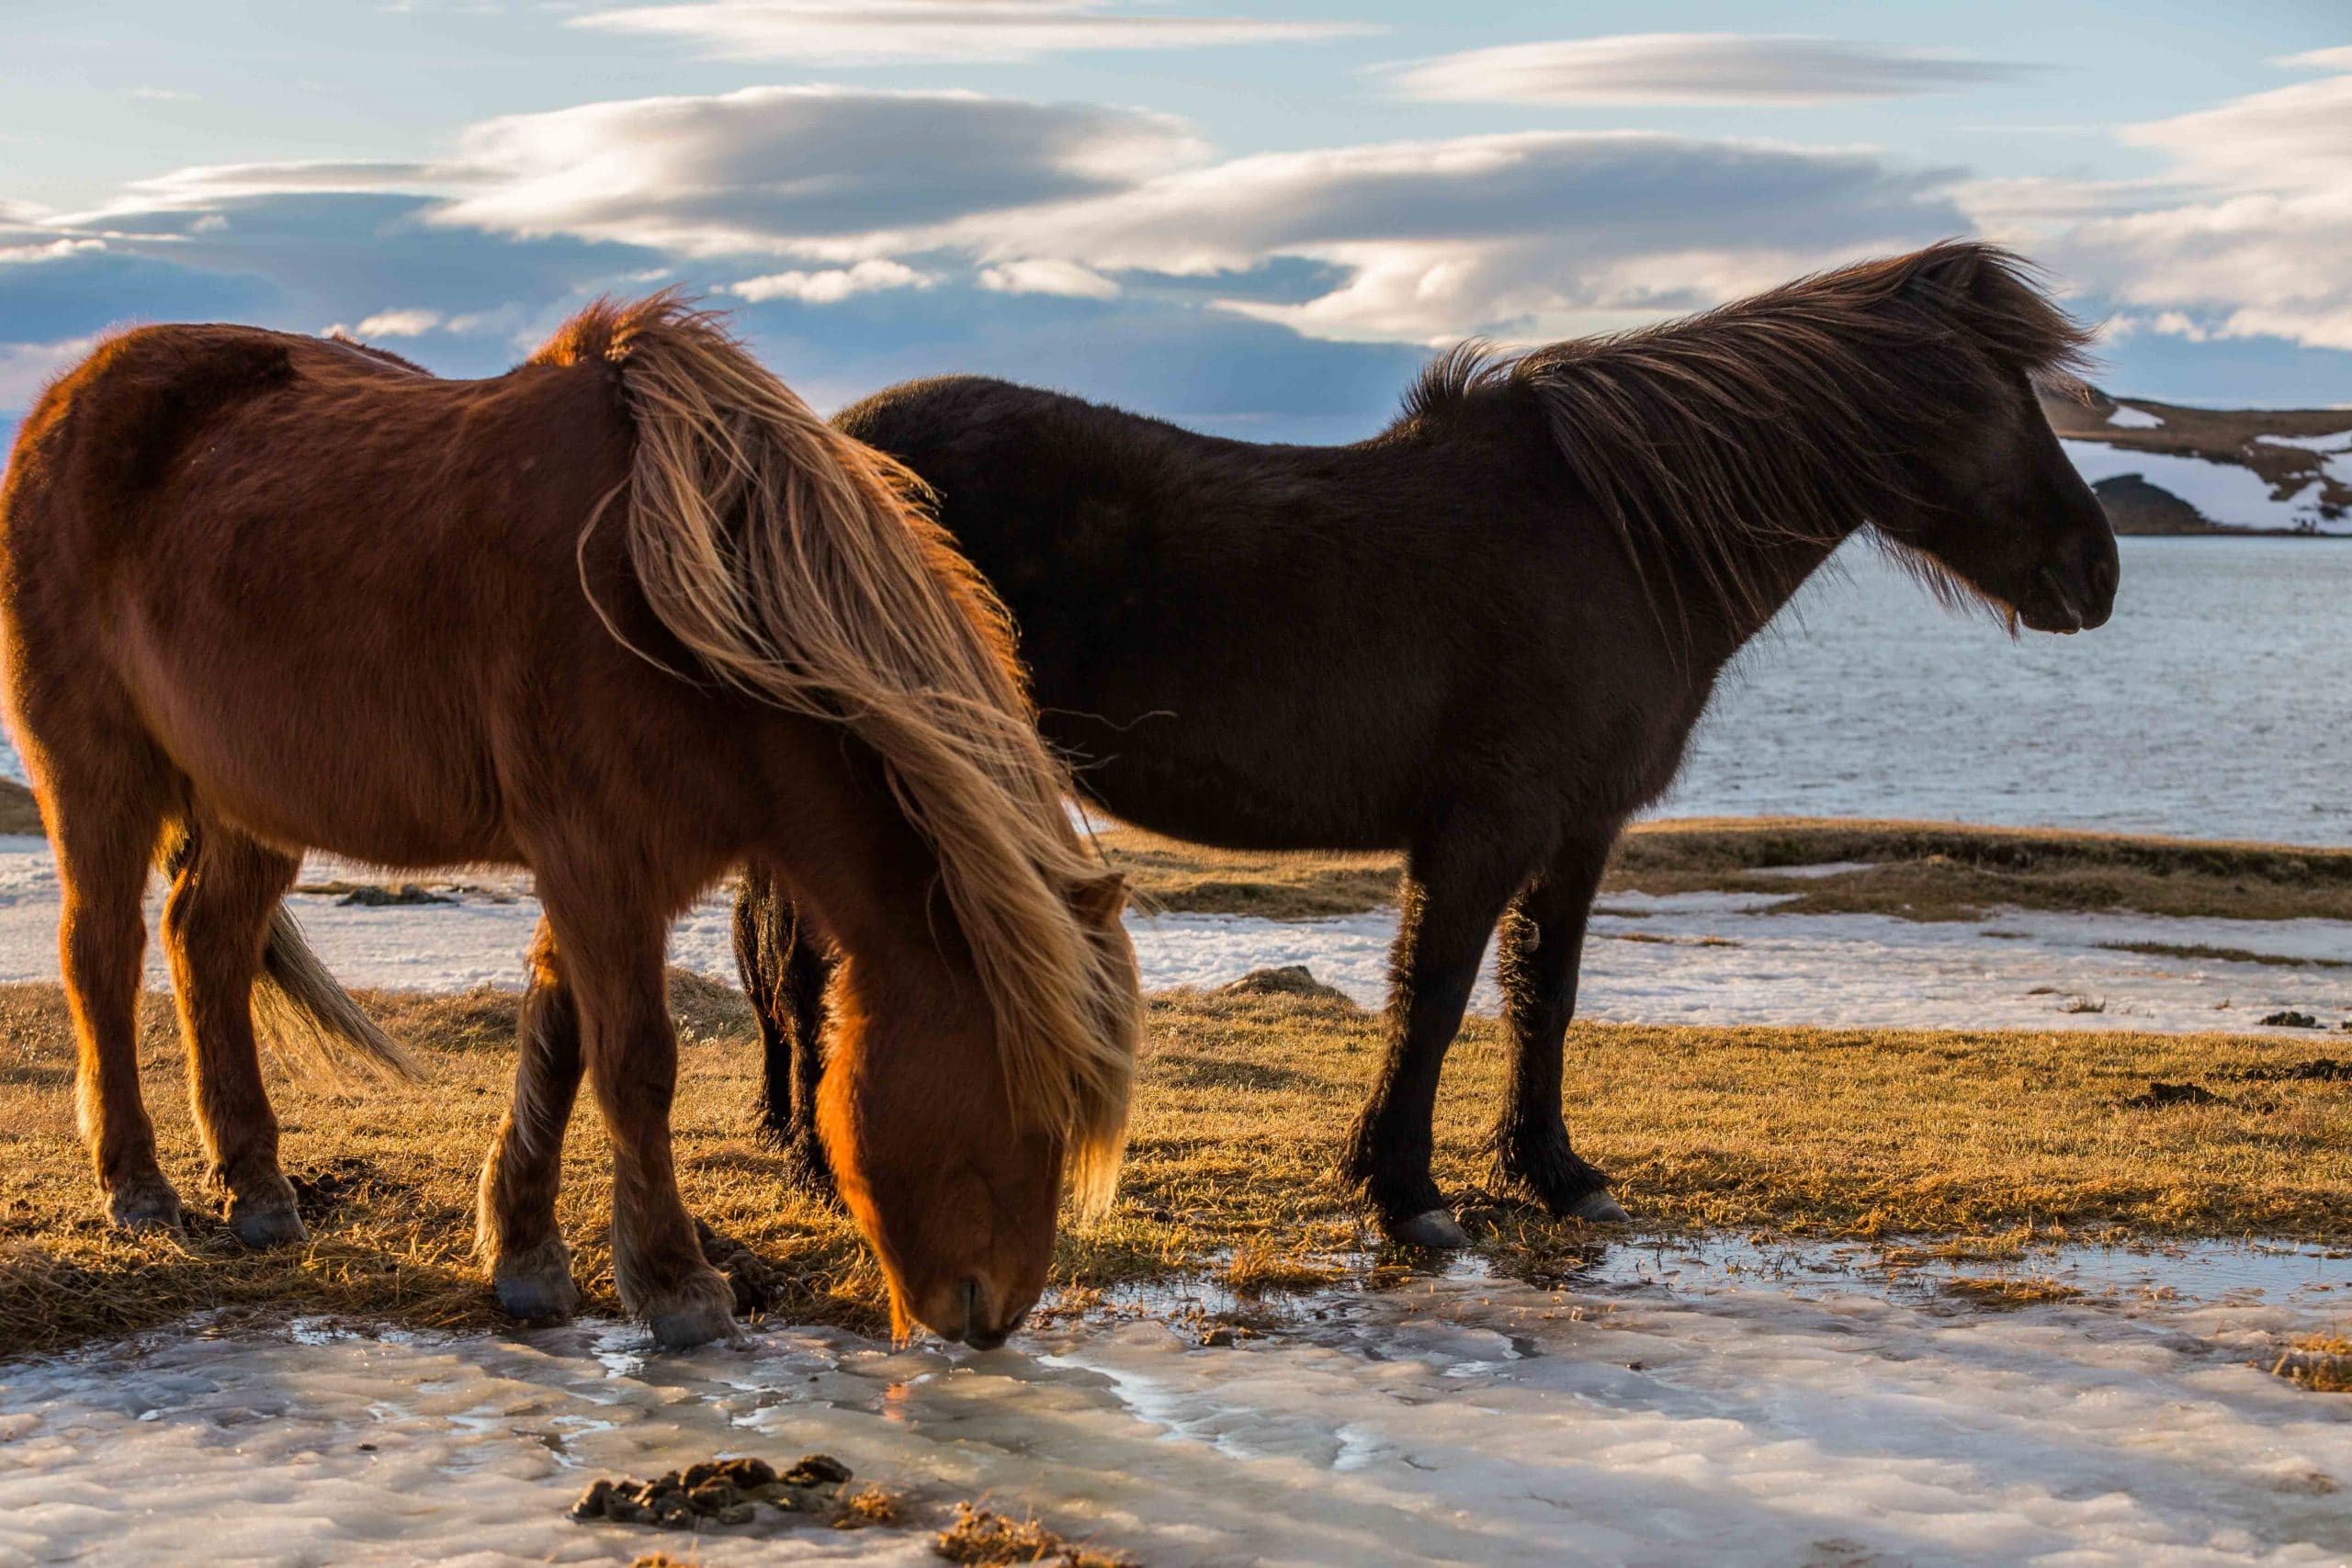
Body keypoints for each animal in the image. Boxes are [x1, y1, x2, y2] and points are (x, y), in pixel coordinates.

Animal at [0, 293, 1138, 1354]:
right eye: (1026, 1098)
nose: (989, 1315)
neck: (660, 594)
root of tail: (74, 395)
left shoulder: (603, 865)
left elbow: (556, 1042)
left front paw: (525, 1258)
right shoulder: (597, 860)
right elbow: (636, 1061)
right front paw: (676, 1288)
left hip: (253, 798)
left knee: (210, 942)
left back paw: (258, 1191)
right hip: (98, 773)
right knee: (102, 953)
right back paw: (139, 1188)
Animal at [729, 242, 2117, 1250]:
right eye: (1995, 396)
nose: (2097, 575)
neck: (1618, 541)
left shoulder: (1579, 832)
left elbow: (1543, 997)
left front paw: (1555, 1174)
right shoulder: (1483, 830)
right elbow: (1435, 998)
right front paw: (1406, 1194)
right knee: (802, 964)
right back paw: (819, 1164)